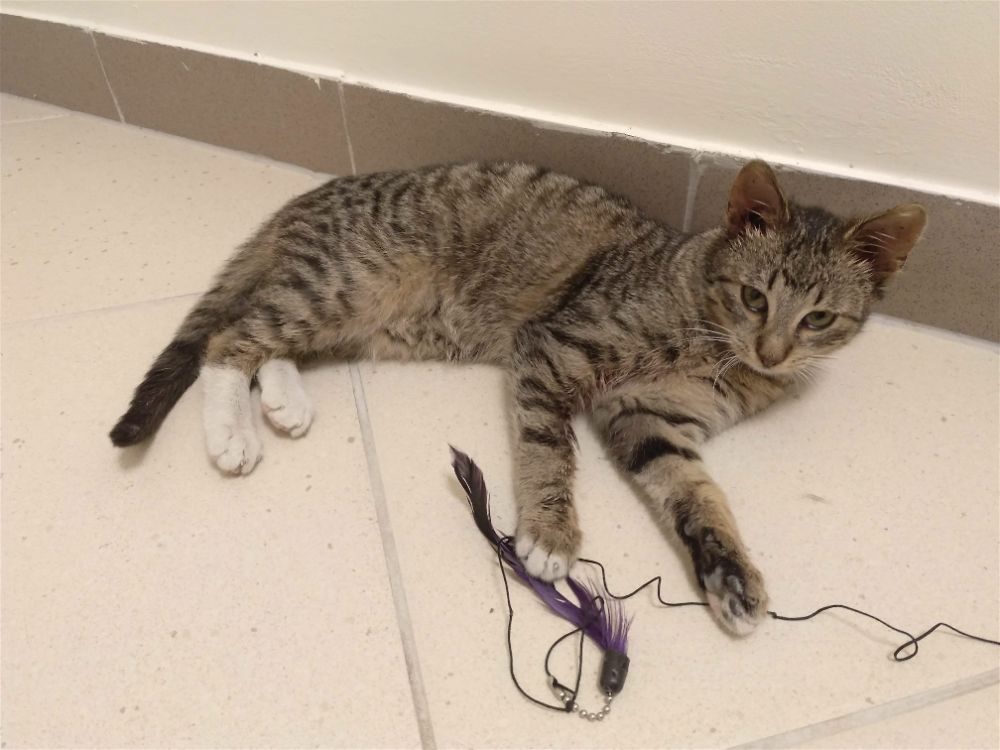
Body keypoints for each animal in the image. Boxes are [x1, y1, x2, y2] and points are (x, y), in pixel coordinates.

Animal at [110, 159, 927, 635]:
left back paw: (283, 403)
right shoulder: (554, 349)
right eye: (755, 297)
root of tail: (313, 194)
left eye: (818, 319)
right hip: (348, 286)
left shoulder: (652, 421)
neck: (714, 345)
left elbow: (697, 494)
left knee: (273, 344)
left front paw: (728, 572)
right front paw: (549, 533)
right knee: (230, 338)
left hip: (377, 321)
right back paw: (231, 433)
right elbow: (548, 445)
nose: (773, 351)